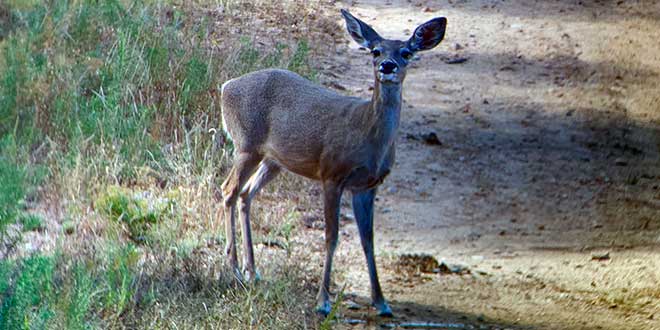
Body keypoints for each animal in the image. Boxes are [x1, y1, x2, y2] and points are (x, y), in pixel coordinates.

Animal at [219, 9, 446, 316]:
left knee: (245, 193)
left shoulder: (367, 186)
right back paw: (233, 268)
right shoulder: (332, 174)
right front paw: (323, 301)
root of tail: (226, 86)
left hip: (274, 159)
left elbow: (368, 239)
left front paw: (381, 302)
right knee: (228, 189)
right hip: (246, 145)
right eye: (375, 51)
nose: (387, 66)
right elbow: (332, 236)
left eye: (407, 52)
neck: (367, 133)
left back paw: (252, 270)